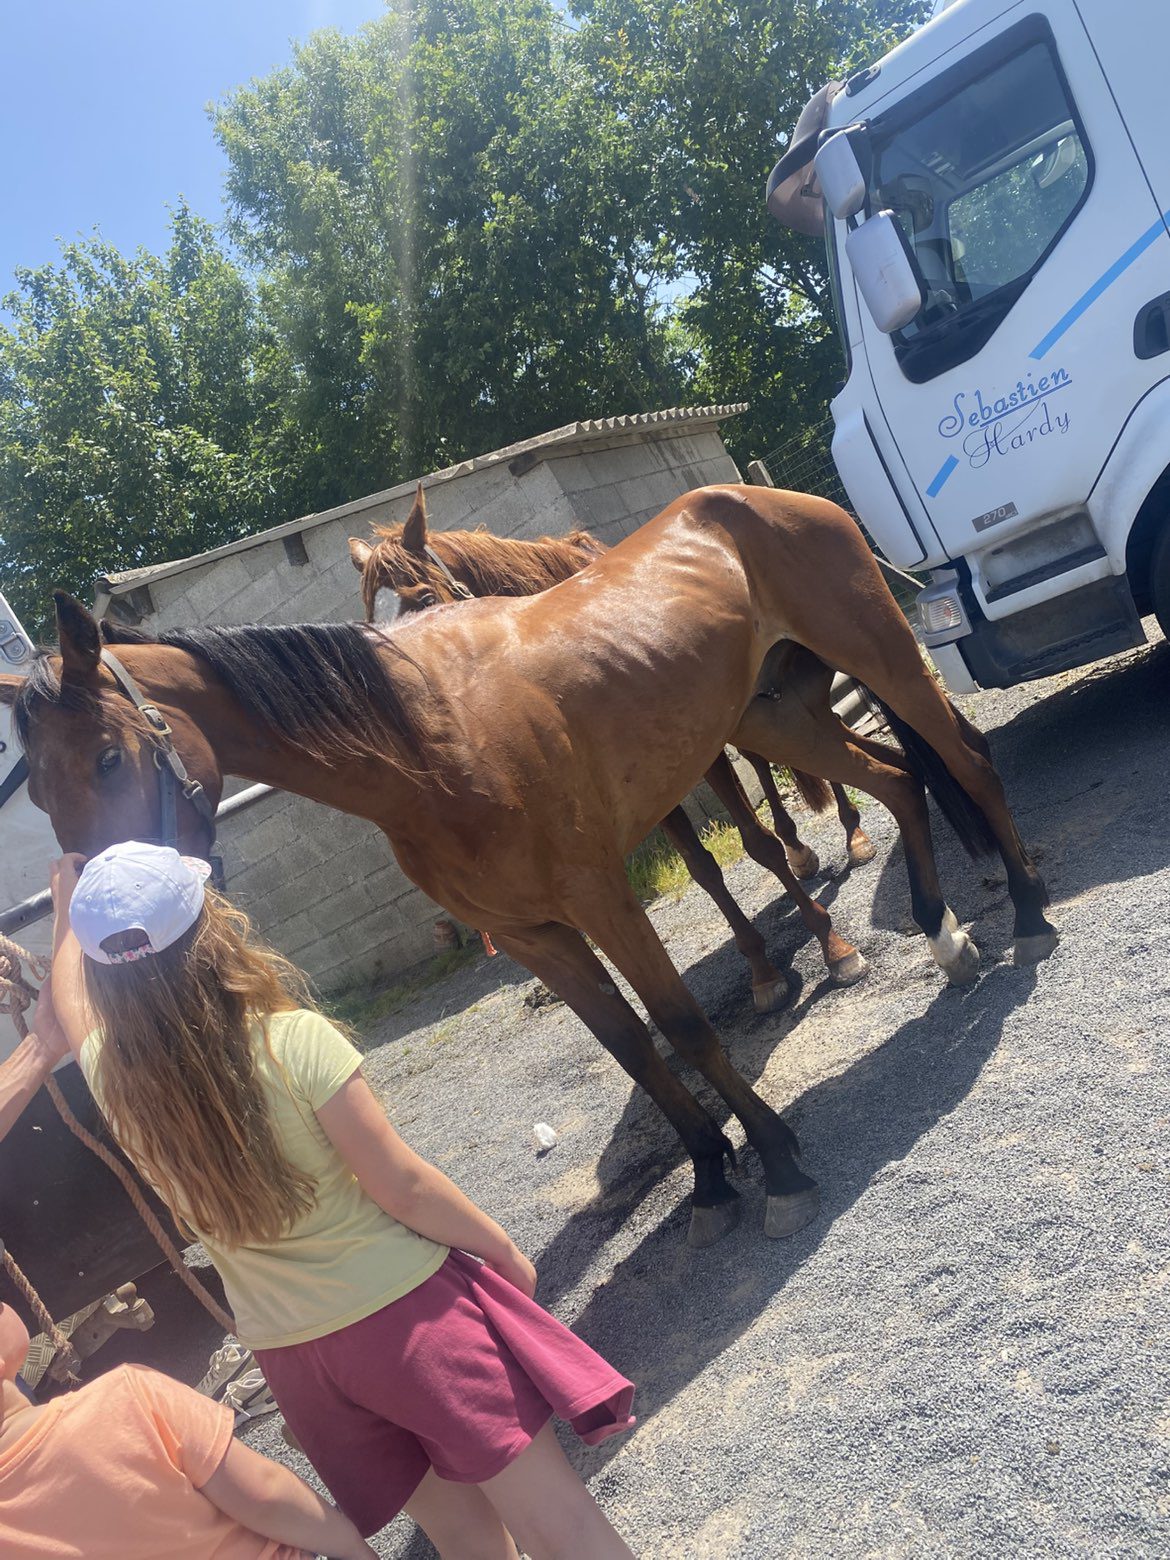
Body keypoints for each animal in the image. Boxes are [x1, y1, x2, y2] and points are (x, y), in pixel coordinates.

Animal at [346, 489, 878, 1012]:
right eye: (369, 623)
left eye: (425, 598)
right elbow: (703, 869)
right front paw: (762, 971)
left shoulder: (702, 760)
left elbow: (756, 843)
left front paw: (833, 951)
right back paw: (802, 852)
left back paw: (850, 836)